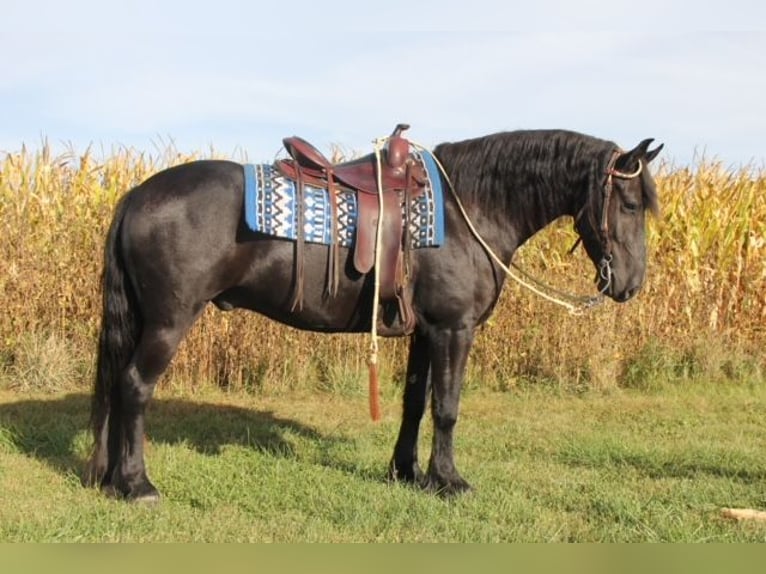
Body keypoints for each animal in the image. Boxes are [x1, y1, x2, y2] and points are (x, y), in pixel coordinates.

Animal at [82, 128, 660, 502]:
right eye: (631, 205)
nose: (630, 285)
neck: (468, 209)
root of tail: (137, 194)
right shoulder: (454, 329)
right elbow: (447, 408)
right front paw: (449, 481)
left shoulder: (427, 331)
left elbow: (415, 404)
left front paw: (407, 473)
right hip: (168, 321)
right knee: (134, 387)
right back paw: (136, 484)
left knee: (114, 385)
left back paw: (106, 477)